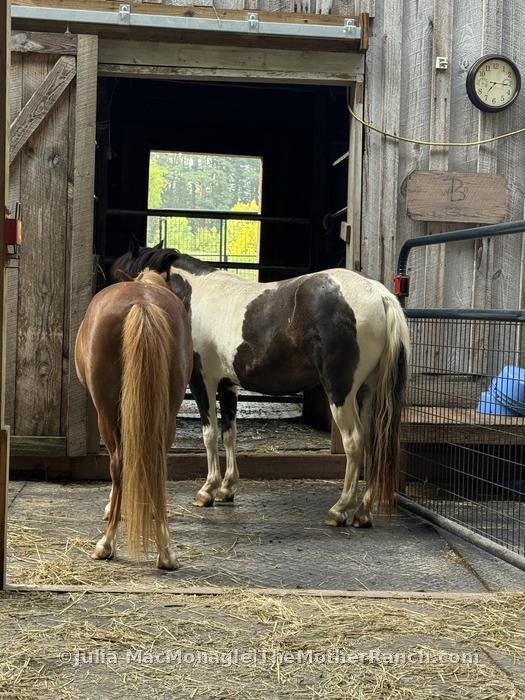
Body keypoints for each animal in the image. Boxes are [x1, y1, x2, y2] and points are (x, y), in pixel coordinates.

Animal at [75, 268, 193, 569]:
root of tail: (142, 303)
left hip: (106, 413)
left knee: (118, 463)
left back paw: (106, 544)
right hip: (167, 412)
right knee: (156, 464)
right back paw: (166, 551)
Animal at [112, 243, 410, 528]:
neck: (195, 296)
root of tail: (378, 294)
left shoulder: (202, 380)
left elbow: (209, 434)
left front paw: (207, 490)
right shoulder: (227, 385)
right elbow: (228, 433)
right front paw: (226, 489)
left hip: (341, 392)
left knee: (354, 441)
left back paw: (339, 509)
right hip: (367, 392)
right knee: (373, 443)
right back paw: (362, 513)